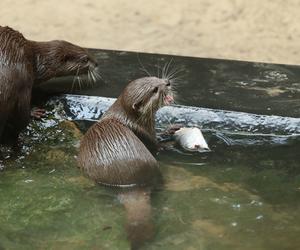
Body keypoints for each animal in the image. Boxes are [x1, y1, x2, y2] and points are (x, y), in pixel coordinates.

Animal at [78, 77, 175, 249]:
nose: (167, 82)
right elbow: (158, 145)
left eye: (156, 78)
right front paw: (169, 139)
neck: (130, 119)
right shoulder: (147, 134)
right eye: (155, 89)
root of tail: (131, 184)